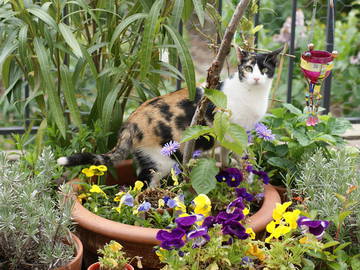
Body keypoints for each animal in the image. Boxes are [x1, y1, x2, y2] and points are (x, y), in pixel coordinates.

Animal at [57, 47, 282, 186]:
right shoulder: (233, 133)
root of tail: (130, 122)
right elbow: (243, 158)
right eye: (248, 68)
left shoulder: (229, 138)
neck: (251, 94)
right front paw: (248, 179)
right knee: (143, 186)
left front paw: (231, 174)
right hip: (163, 160)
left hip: (149, 158)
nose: (256, 78)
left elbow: (227, 158)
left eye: (264, 69)